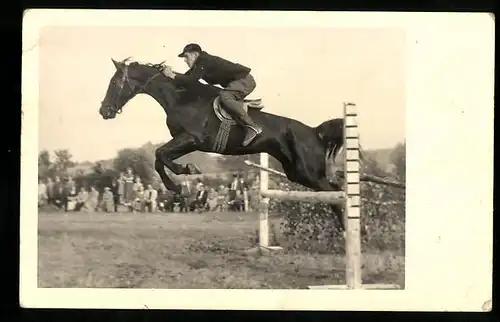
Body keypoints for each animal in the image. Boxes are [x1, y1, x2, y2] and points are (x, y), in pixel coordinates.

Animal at [99, 57, 346, 229]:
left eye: (114, 82)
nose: (104, 111)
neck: (180, 97)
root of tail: (314, 132)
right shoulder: (185, 141)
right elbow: (160, 158)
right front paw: (180, 180)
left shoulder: (191, 138)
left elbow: (161, 155)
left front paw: (183, 176)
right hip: (297, 173)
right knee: (333, 192)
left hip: (308, 172)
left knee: (335, 192)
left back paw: (345, 230)